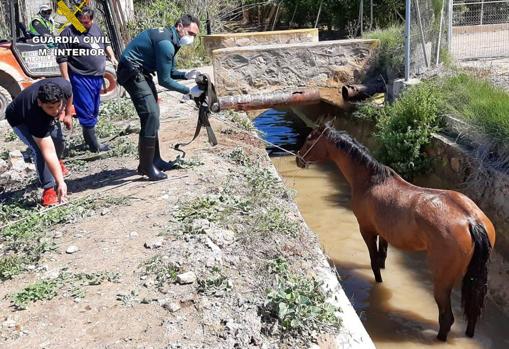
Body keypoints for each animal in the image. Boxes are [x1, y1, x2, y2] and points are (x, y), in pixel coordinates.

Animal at [296, 123, 494, 342]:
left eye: (309, 140)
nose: (298, 159)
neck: (371, 181)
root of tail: (471, 220)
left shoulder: (366, 230)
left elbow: (374, 261)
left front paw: (378, 282)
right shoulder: (384, 232)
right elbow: (382, 257)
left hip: (442, 280)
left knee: (447, 318)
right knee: (473, 312)